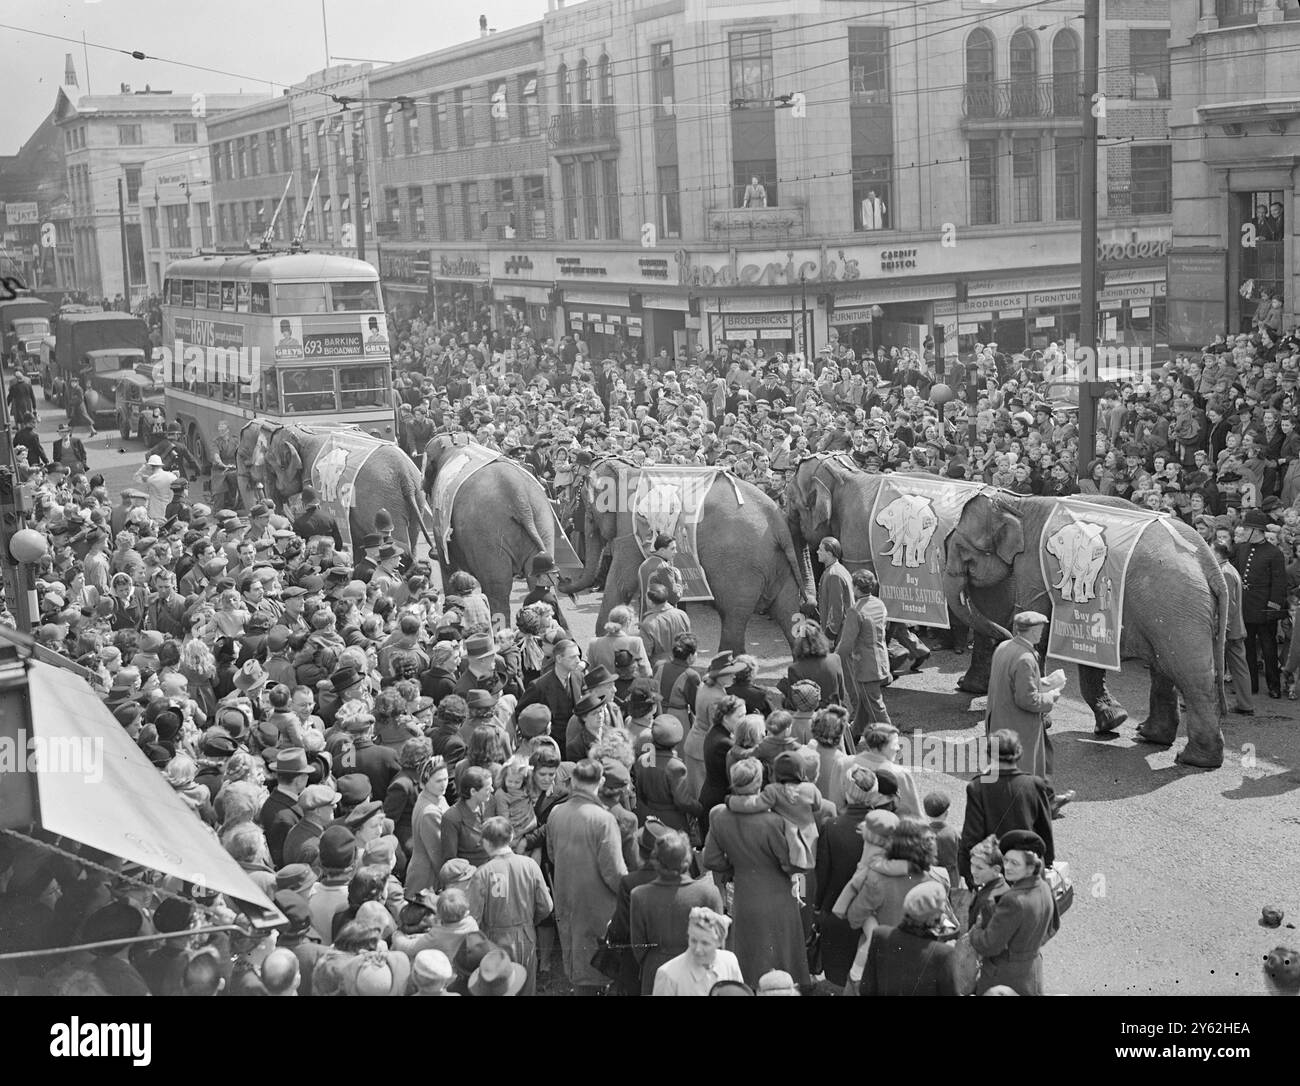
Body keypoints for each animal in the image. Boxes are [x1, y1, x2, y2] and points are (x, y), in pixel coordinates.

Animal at [236, 421, 434, 556]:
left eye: (270, 468)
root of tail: (405, 476)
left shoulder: (311, 478)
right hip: (415, 497)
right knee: (412, 538)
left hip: (380, 499)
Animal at [423, 431, 572, 624]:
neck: (456, 444)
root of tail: (519, 497)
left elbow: (448, 567)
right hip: (542, 519)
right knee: (537, 580)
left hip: (486, 534)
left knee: (497, 590)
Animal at [561, 457, 811, 652]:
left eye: (588, 513)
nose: (564, 583)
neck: (628, 468)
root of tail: (778, 522)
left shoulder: (630, 532)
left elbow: (622, 580)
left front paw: (606, 638)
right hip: (779, 564)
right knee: (787, 614)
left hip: (740, 568)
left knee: (733, 616)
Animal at [946, 489, 1227, 769]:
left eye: (961, 549)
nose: (1004, 635)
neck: (1018, 502)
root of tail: (1209, 563)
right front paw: (1114, 720)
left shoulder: (1033, 566)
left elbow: (1040, 630)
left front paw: (1041, 722)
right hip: (1171, 611)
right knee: (1164, 667)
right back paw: (1151, 736)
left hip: (1177, 608)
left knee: (1188, 675)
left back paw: (1193, 759)